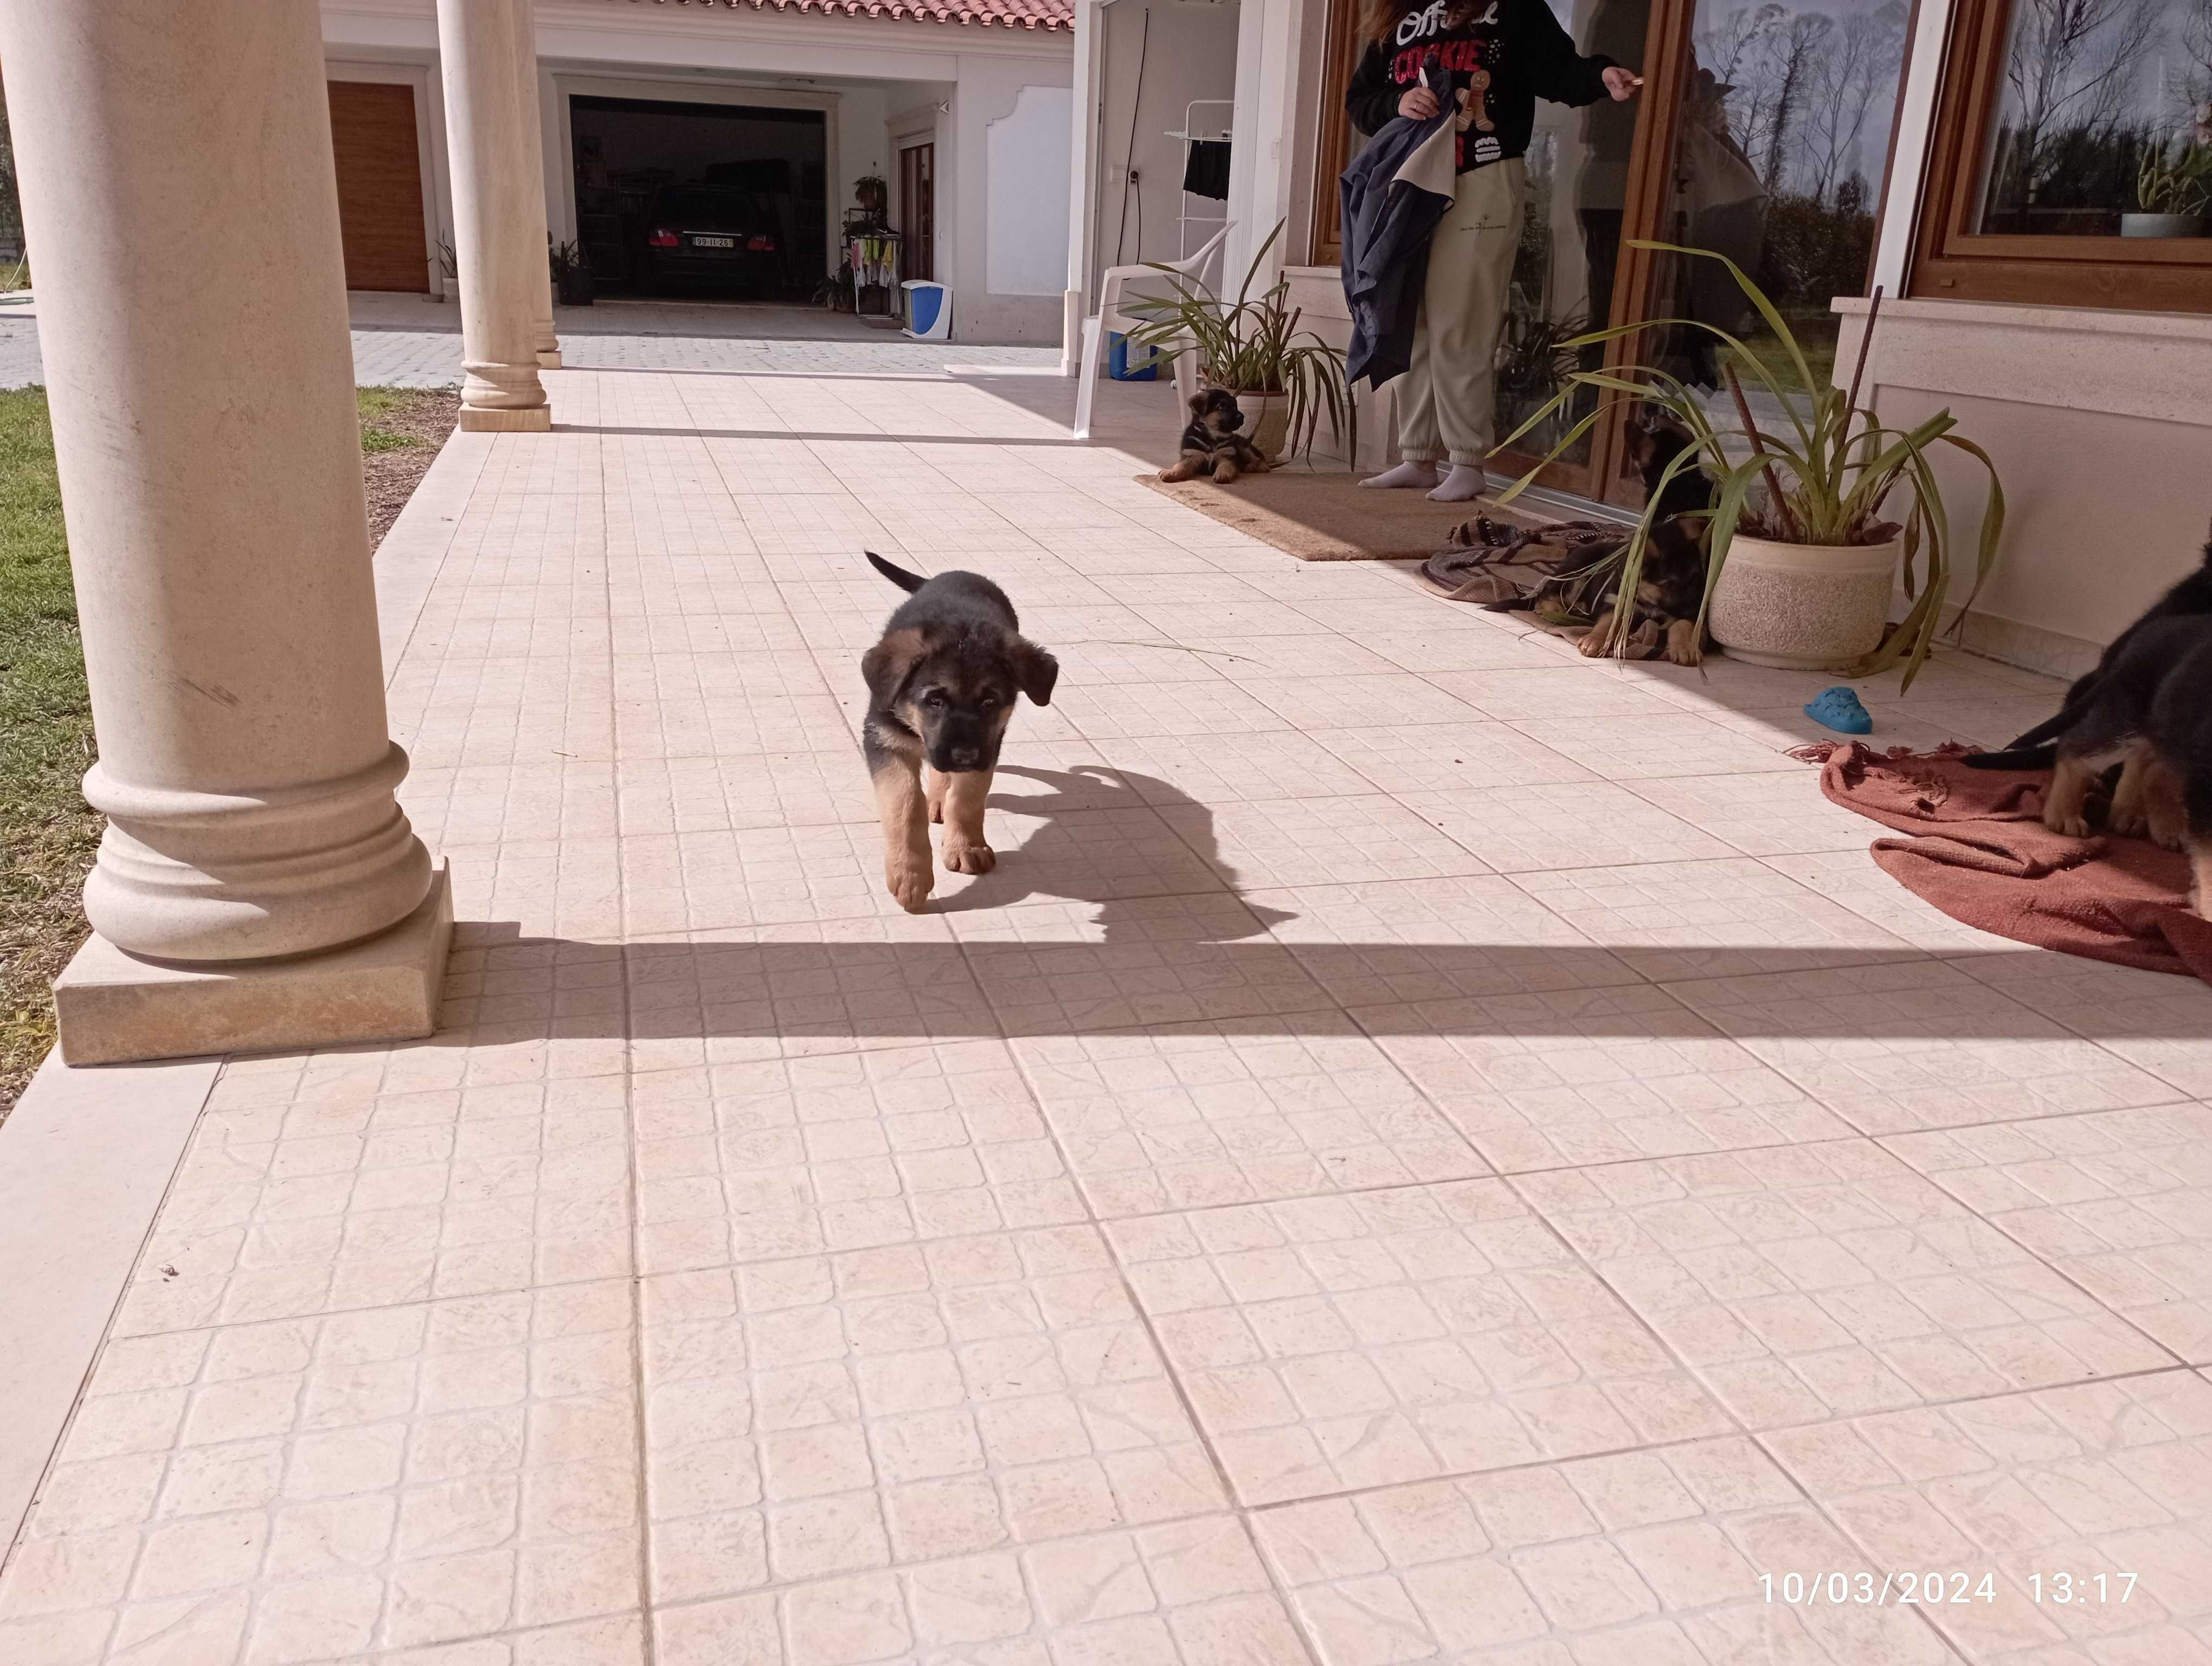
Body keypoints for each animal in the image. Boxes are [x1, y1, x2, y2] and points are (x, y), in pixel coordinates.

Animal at [858, 548, 1057, 911]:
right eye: (934, 700)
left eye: (990, 702)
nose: (964, 755)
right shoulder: (884, 739)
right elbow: (904, 803)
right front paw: (910, 873)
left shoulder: (989, 744)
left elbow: (968, 796)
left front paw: (966, 847)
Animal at [1150, 392, 1274, 486]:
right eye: (1222, 408)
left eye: (1235, 407)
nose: (1242, 417)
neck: (1212, 437)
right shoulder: (1191, 458)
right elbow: (1180, 466)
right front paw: (1170, 473)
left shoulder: (1227, 457)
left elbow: (1225, 466)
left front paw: (1222, 474)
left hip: (1243, 447)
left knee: (1263, 463)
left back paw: (1251, 467)